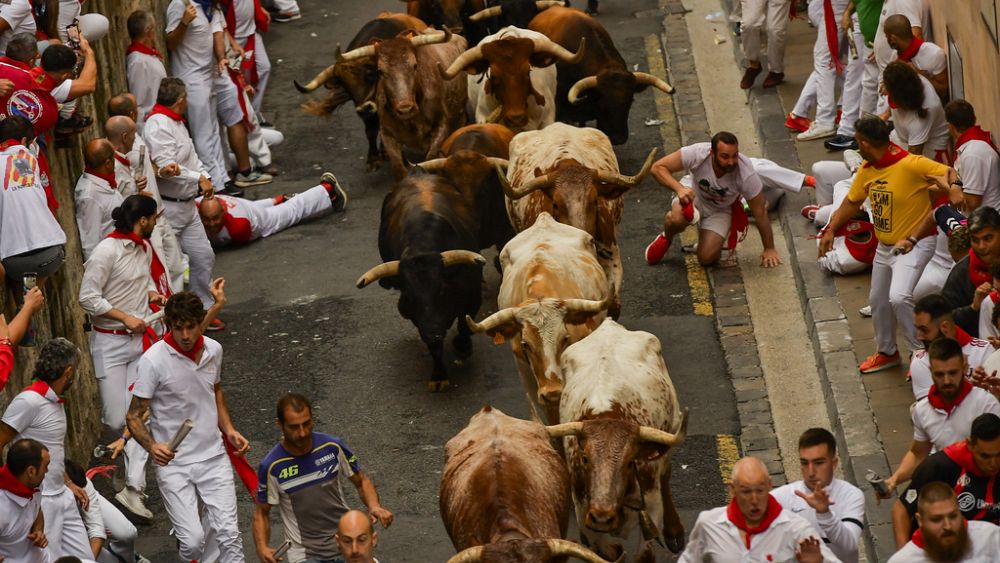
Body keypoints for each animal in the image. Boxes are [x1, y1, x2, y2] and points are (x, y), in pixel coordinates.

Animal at [340, 28, 468, 181]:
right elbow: (398, 168)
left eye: (415, 65)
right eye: (380, 71)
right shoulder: (387, 134)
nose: (405, 109)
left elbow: (430, 159)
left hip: (461, 112)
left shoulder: (441, 125)